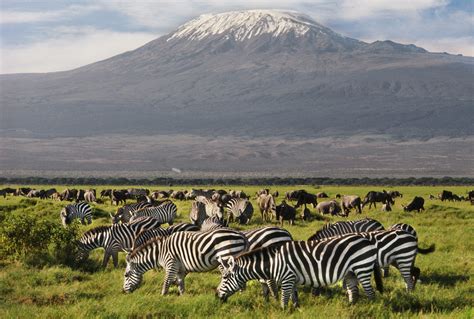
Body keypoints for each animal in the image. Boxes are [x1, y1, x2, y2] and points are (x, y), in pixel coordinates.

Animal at [217, 235, 384, 310]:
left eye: (225, 277)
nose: (216, 295)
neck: (273, 262)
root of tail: (366, 240)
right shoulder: (292, 279)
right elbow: (294, 295)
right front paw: (296, 308)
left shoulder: (287, 277)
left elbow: (284, 297)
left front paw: (283, 311)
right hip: (350, 272)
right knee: (354, 291)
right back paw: (351, 307)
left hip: (362, 268)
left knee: (370, 292)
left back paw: (372, 307)